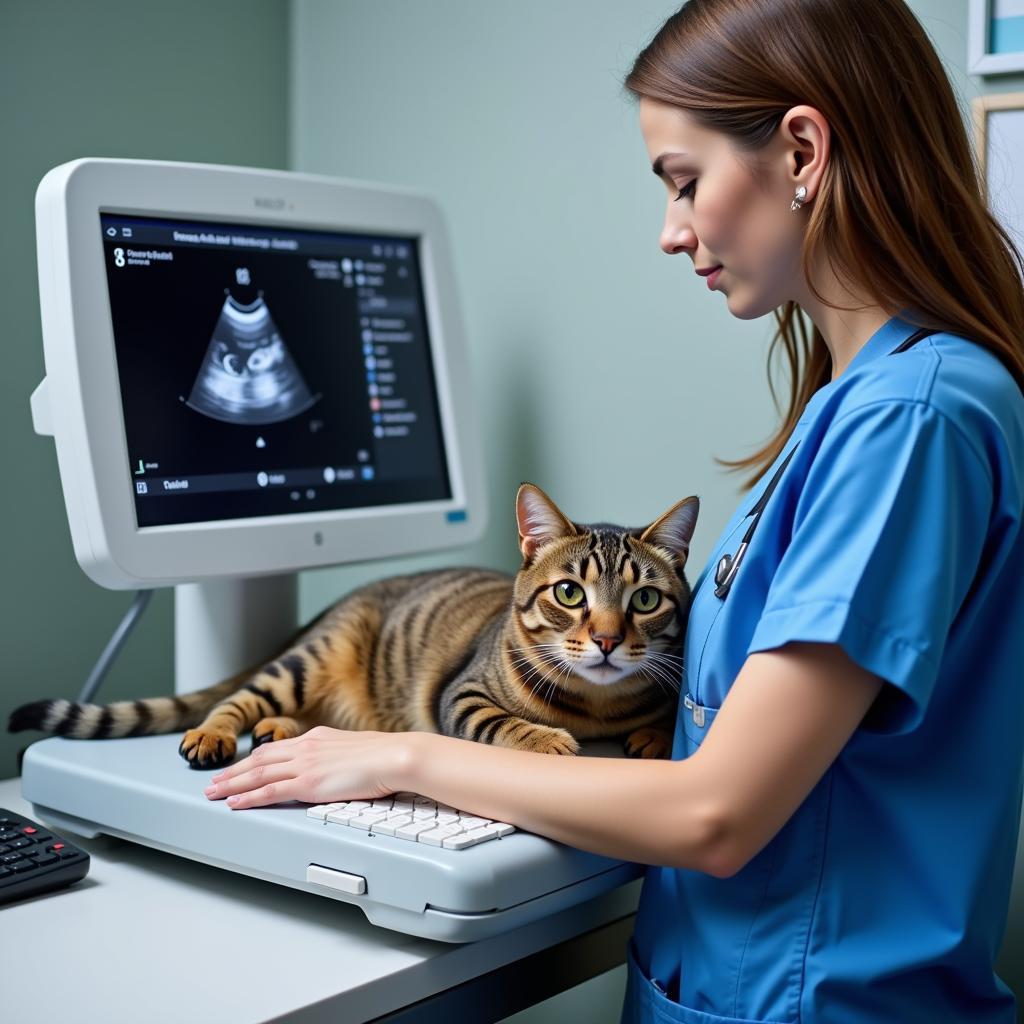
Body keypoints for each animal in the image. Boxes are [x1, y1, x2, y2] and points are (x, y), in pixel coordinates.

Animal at [8, 485, 696, 770]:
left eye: (644, 600)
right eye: (570, 593)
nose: (606, 640)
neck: (596, 708)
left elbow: (661, 721)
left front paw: (656, 735)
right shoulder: (462, 694)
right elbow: (502, 721)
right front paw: (548, 739)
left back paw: (282, 731)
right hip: (311, 658)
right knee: (237, 700)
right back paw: (217, 733)